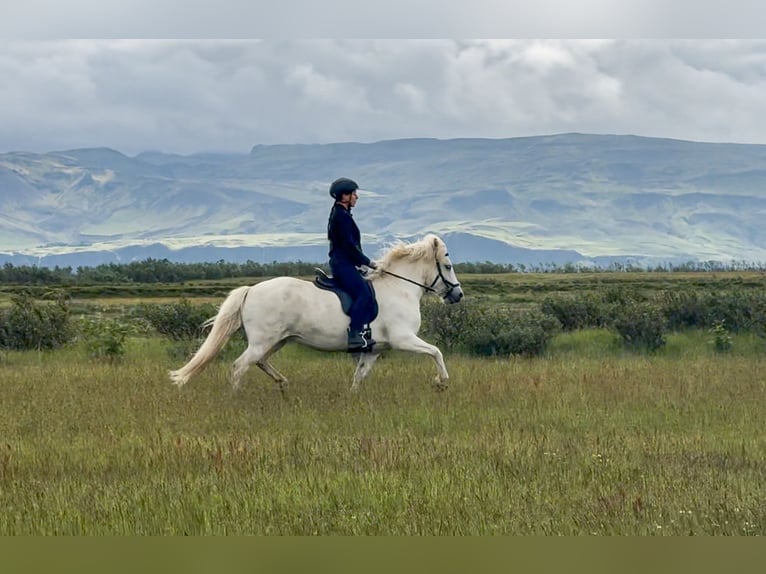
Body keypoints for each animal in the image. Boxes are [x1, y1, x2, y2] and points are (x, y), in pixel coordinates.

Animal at [168, 233, 464, 393]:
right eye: (448, 266)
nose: (458, 295)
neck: (400, 288)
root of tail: (251, 290)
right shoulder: (403, 339)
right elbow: (436, 351)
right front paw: (442, 383)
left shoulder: (374, 349)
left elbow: (359, 376)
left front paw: (352, 399)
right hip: (263, 340)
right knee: (239, 366)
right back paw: (237, 396)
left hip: (277, 340)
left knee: (260, 362)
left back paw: (283, 383)